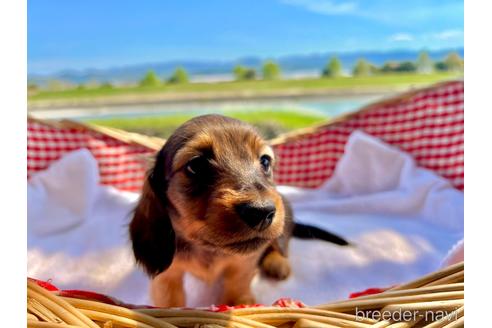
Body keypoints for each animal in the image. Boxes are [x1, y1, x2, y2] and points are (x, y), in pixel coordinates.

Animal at [129, 114, 348, 306]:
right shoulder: (168, 275)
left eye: (265, 161)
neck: (209, 249)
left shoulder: (245, 263)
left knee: (280, 244)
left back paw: (278, 262)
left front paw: (239, 303)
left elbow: (238, 282)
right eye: (196, 165)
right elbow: (169, 299)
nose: (262, 212)